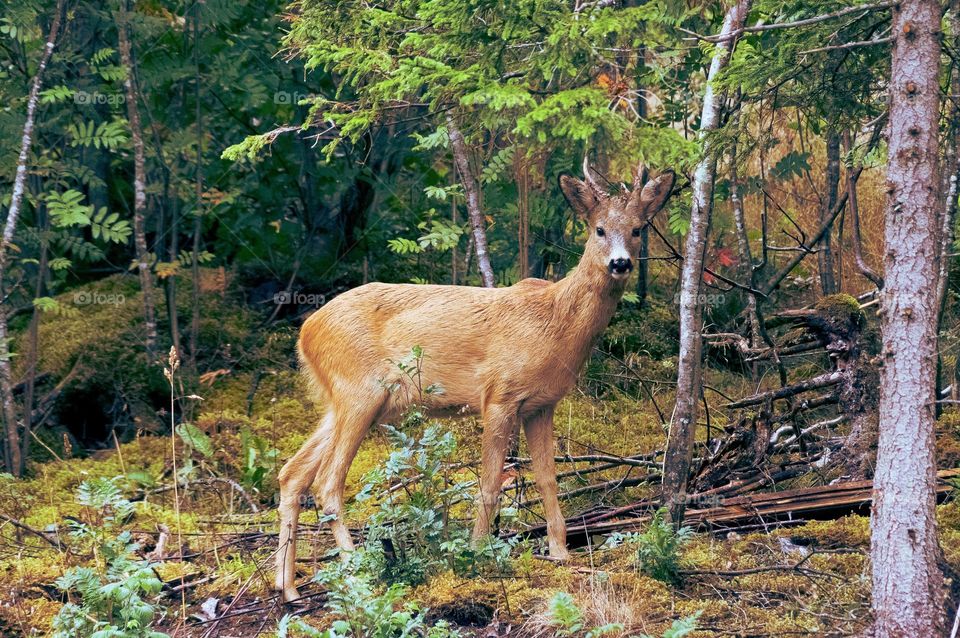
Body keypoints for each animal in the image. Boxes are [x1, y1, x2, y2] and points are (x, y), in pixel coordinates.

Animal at [274, 158, 672, 604]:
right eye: (599, 229)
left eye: (638, 228)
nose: (620, 263)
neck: (555, 325)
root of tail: (306, 332)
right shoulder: (499, 395)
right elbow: (489, 481)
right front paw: (479, 552)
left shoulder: (542, 405)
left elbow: (548, 478)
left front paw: (560, 552)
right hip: (360, 392)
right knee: (328, 482)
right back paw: (358, 572)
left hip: (342, 400)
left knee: (292, 473)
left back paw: (288, 587)